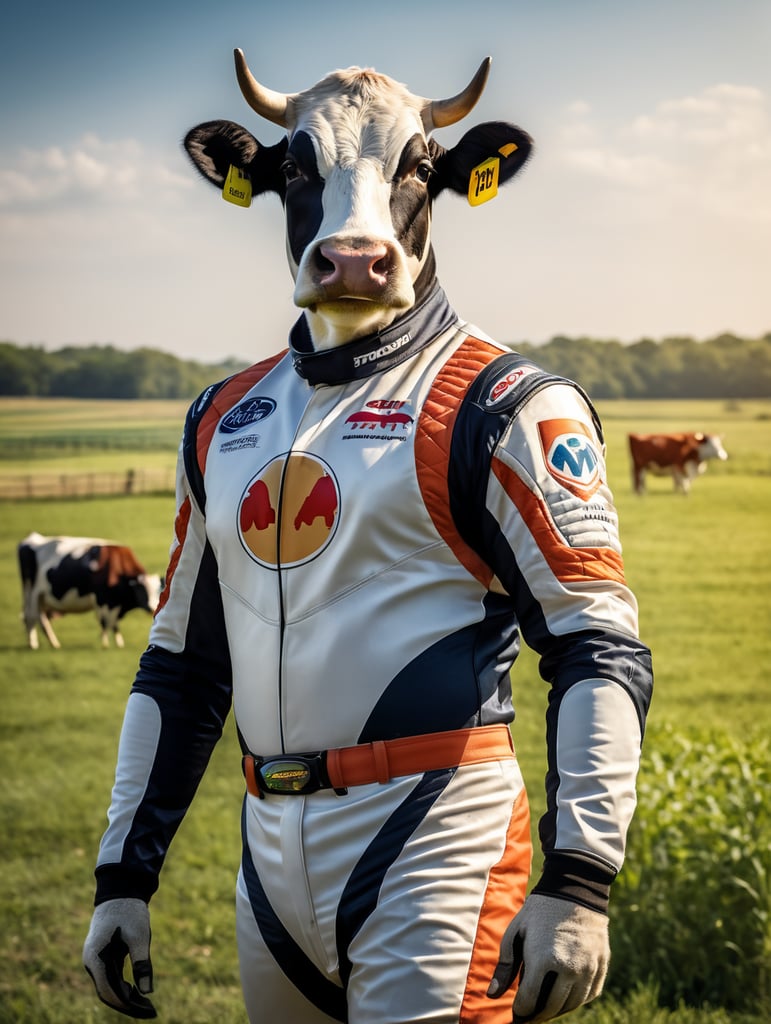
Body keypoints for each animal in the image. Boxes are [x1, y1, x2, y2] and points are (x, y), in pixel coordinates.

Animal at [18, 532, 162, 649]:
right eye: (142, 591)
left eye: (157, 592)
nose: (151, 608)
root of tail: (31, 539)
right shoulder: (101, 598)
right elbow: (104, 622)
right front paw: (105, 644)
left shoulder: (114, 603)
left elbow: (114, 624)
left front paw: (119, 643)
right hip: (31, 592)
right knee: (30, 616)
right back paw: (33, 644)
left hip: (41, 597)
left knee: (42, 619)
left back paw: (54, 643)